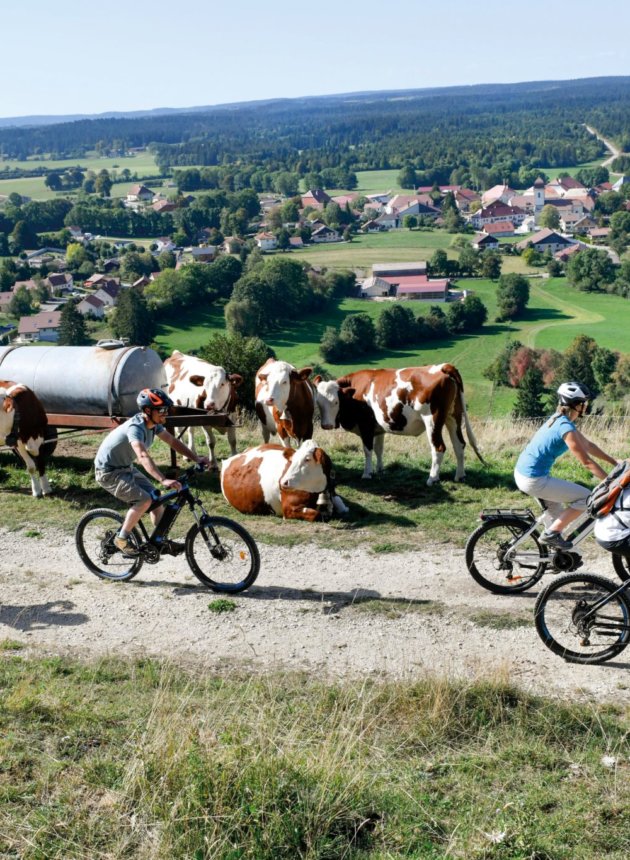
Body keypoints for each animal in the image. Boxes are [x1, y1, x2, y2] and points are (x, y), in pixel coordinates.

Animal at [221, 440, 350, 520]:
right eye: (292, 460)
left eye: (307, 459)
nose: (283, 482)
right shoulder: (288, 508)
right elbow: (316, 514)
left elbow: (342, 506)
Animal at [314, 362, 484, 484]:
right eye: (318, 403)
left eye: (336, 402)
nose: (326, 425)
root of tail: (443, 367)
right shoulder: (379, 427)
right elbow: (379, 449)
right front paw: (379, 469)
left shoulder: (365, 425)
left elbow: (368, 450)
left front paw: (367, 473)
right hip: (453, 417)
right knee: (459, 445)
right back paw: (460, 476)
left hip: (432, 420)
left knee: (439, 448)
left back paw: (432, 478)